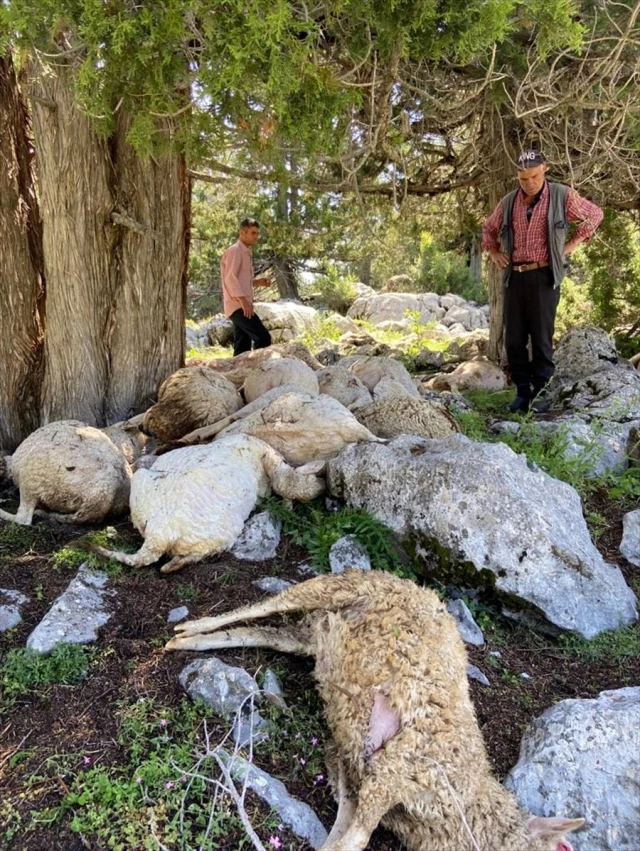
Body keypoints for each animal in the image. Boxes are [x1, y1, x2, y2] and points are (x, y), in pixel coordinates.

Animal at [90, 436, 324, 576]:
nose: (322, 486)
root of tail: (161, 533)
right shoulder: (269, 459)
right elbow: (287, 482)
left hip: (141, 486)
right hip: (223, 533)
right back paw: (175, 564)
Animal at [166, 568, 584, 851]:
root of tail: (411, 583)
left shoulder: (353, 770)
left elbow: (340, 835)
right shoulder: (395, 770)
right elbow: (355, 840)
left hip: (313, 636)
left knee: (263, 633)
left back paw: (187, 642)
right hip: (336, 586)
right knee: (265, 604)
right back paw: (189, 627)